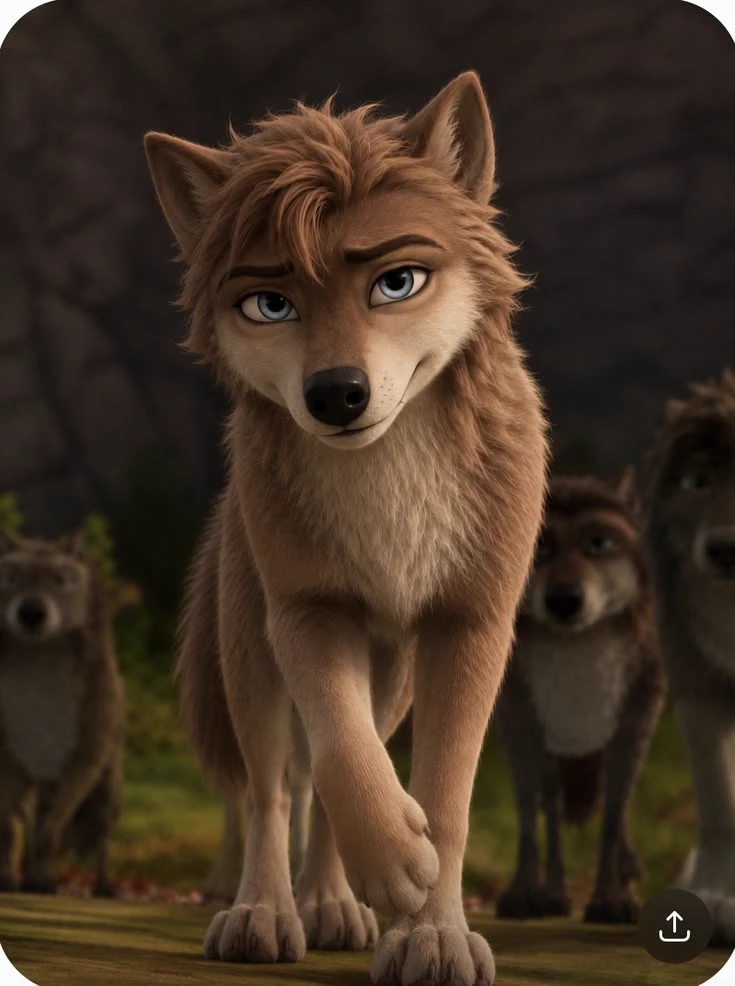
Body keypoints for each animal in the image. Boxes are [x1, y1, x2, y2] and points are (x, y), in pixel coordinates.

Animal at [0, 530, 126, 896]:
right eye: (10, 576)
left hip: (108, 789)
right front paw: (7, 880)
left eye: (62, 579)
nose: (31, 612)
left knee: (101, 838)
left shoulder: (79, 762)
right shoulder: (9, 757)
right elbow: (9, 828)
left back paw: (104, 887)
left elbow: (50, 829)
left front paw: (42, 881)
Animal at [144, 72, 547, 985]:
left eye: (396, 283)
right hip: (249, 654)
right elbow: (337, 755)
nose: (335, 394)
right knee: (272, 786)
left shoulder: (467, 623)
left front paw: (429, 933)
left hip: (395, 678)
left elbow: (445, 796)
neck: (386, 475)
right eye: (269, 303)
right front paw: (396, 866)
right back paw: (265, 914)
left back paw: (335, 906)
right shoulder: (309, 612)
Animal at [495, 471, 665, 924]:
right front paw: (527, 894)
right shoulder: (520, 725)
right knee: (550, 802)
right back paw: (552, 895)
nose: (563, 601)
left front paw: (613, 898)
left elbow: (614, 815)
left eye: (599, 543)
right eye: (541, 547)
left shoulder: (634, 724)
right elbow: (533, 812)